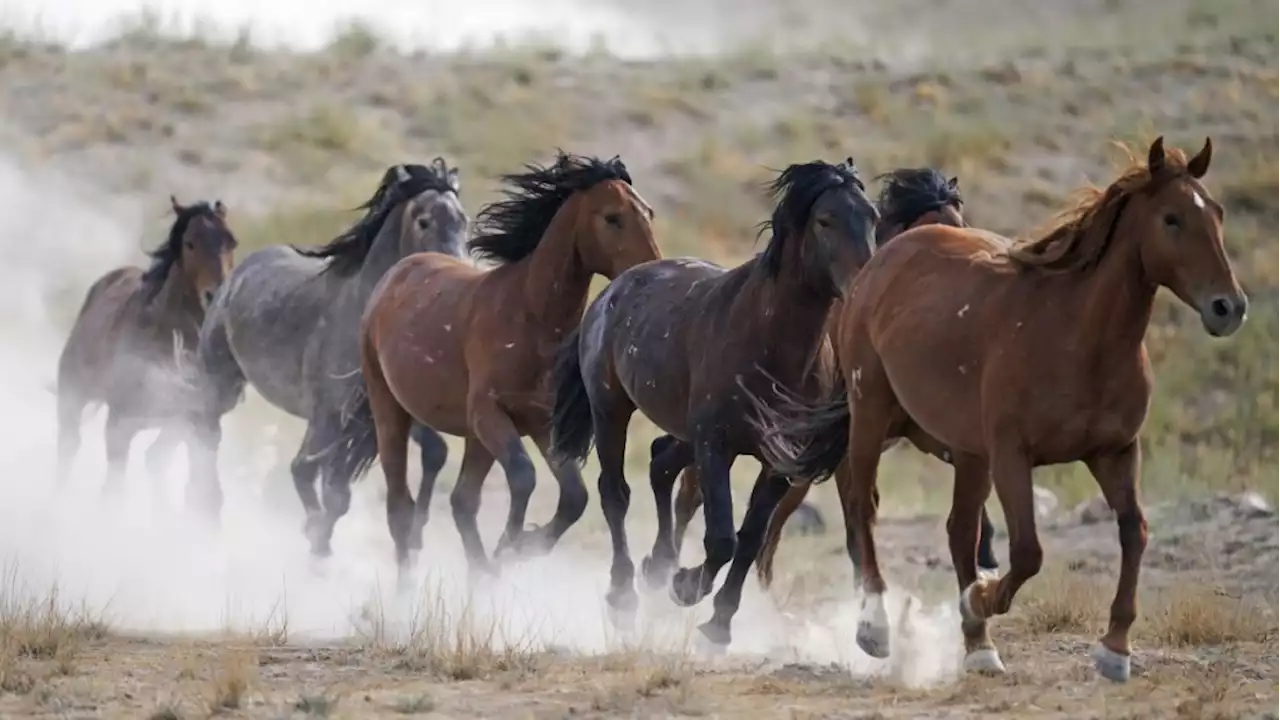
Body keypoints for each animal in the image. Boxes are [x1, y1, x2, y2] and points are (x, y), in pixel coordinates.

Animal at [55, 193, 240, 502]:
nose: (216, 294)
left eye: (231, 242)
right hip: (72, 397)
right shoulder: (120, 422)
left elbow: (203, 492)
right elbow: (113, 490)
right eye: (190, 243)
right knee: (68, 446)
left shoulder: (201, 424)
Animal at [189, 158, 471, 556]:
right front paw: (316, 539)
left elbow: (429, 455)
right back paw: (206, 507)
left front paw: (413, 534)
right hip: (219, 382)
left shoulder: (377, 419)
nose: (457, 276)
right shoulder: (329, 417)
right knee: (207, 436)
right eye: (424, 220)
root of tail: (241, 270)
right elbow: (308, 475)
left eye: (464, 221)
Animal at [325, 149, 665, 576]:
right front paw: (508, 546)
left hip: (472, 437)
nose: (652, 269)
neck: (529, 316)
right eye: (612, 217)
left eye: (648, 212)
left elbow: (574, 497)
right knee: (401, 507)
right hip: (390, 410)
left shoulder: (540, 423)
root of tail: (396, 273)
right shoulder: (490, 414)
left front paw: (518, 547)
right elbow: (522, 477)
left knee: (461, 501)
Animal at [550, 156, 880, 645]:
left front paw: (717, 622)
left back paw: (657, 566)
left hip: (682, 430)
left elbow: (750, 537)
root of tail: (614, 288)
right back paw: (625, 594)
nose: (865, 287)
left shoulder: (780, 461)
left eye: (873, 217)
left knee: (660, 462)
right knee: (616, 492)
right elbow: (722, 538)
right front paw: (687, 587)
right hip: (611, 409)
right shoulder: (715, 446)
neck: (768, 343)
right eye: (825, 220)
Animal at [747, 134, 1244, 676]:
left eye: (1217, 213)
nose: (1229, 307)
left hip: (964, 453)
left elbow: (1134, 531)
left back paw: (978, 647)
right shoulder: (1010, 455)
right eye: (1172, 219)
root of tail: (876, 268)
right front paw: (978, 598)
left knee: (956, 530)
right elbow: (1028, 552)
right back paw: (874, 628)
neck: (1078, 337)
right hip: (871, 414)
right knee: (862, 509)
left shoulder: (1114, 452)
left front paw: (1114, 649)